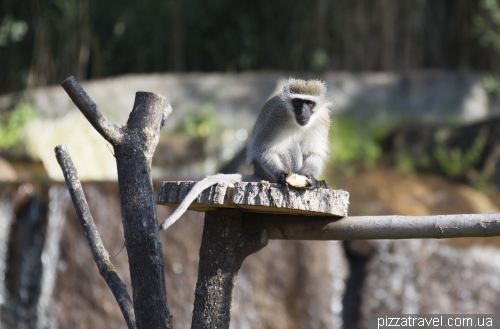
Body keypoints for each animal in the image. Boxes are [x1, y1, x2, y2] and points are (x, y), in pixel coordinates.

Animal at [160, 77, 332, 231]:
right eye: (297, 102)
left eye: (309, 103)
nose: (302, 111)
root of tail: (258, 172)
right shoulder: (277, 115)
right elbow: (265, 150)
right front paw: (283, 176)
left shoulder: (322, 119)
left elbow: (314, 153)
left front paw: (312, 179)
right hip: (266, 171)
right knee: (290, 145)